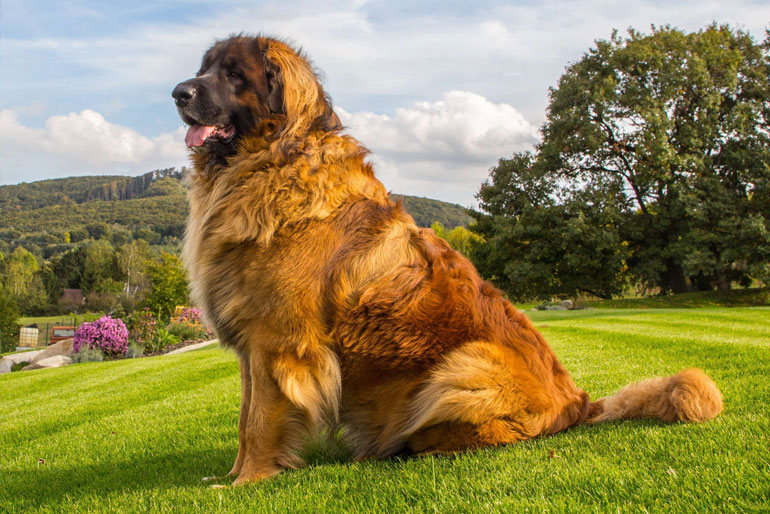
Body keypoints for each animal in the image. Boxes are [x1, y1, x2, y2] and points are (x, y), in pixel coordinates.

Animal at [172, 36, 720, 484]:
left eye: (234, 75)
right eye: (205, 68)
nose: (178, 92)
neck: (270, 162)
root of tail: (579, 403)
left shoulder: (278, 343)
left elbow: (261, 422)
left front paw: (247, 482)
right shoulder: (253, 348)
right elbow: (245, 419)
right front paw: (230, 476)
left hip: (463, 366)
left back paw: (409, 444)